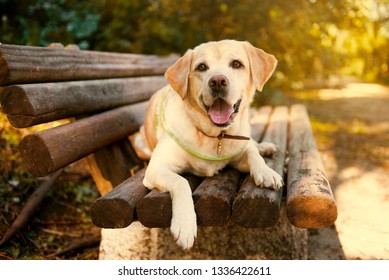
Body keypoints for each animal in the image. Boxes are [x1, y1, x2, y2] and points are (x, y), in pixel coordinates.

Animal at [136, 40, 282, 249]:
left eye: (236, 64)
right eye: (201, 67)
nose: (218, 81)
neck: (215, 136)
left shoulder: (239, 153)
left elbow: (252, 154)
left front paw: (266, 171)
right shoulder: (156, 169)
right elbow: (181, 182)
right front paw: (185, 223)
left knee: (251, 143)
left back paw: (265, 147)